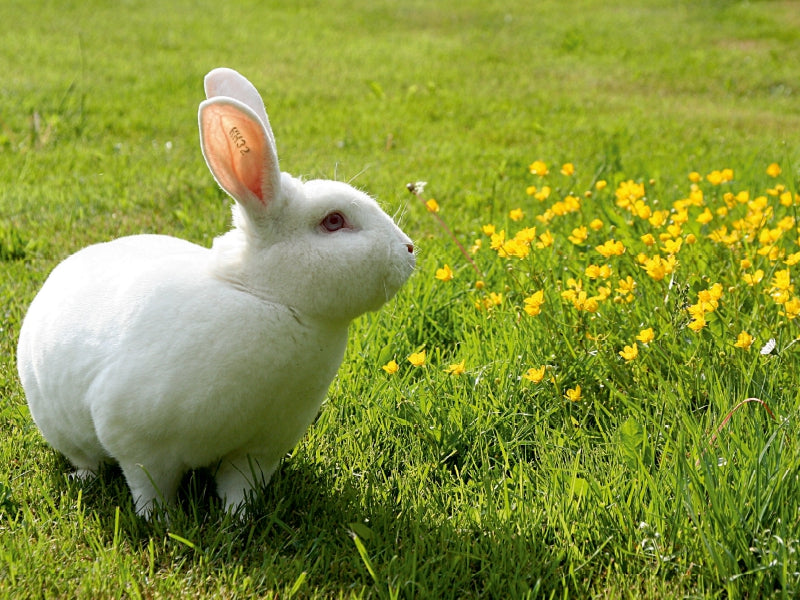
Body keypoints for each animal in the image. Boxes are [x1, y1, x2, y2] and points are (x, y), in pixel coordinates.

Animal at [16, 67, 416, 518]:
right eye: (334, 221)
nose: (409, 249)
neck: (269, 298)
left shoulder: (260, 448)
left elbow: (239, 487)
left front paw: (238, 518)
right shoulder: (140, 444)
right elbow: (148, 487)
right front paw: (158, 521)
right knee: (87, 459)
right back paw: (81, 477)